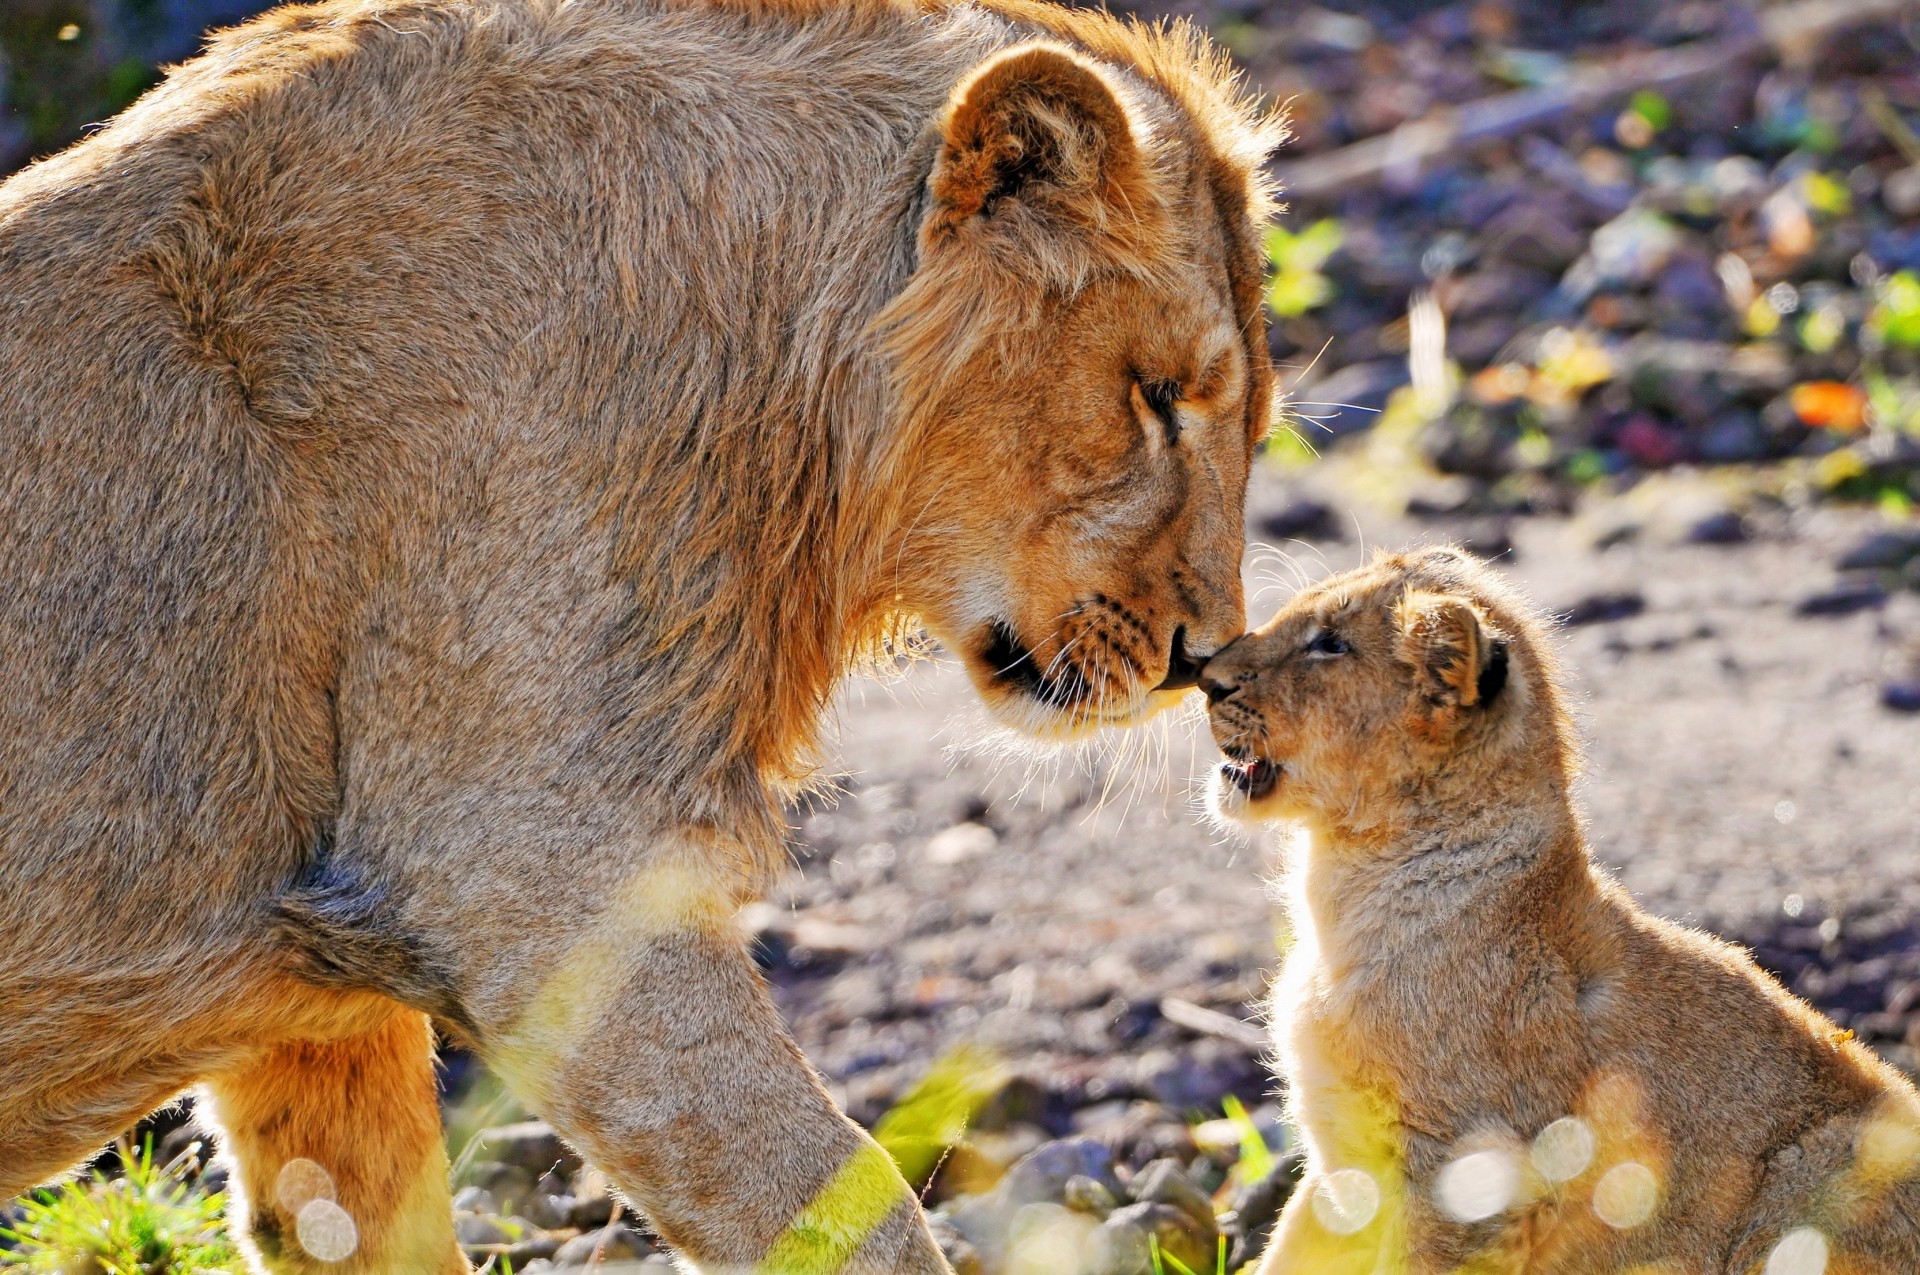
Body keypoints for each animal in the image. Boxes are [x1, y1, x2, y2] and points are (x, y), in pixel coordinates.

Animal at [1201, 545, 1920, 1274]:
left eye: (1330, 644)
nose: (1205, 680)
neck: (1344, 898)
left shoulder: (1462, 1177)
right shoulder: (1341, 1161)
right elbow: (1290, 1249)